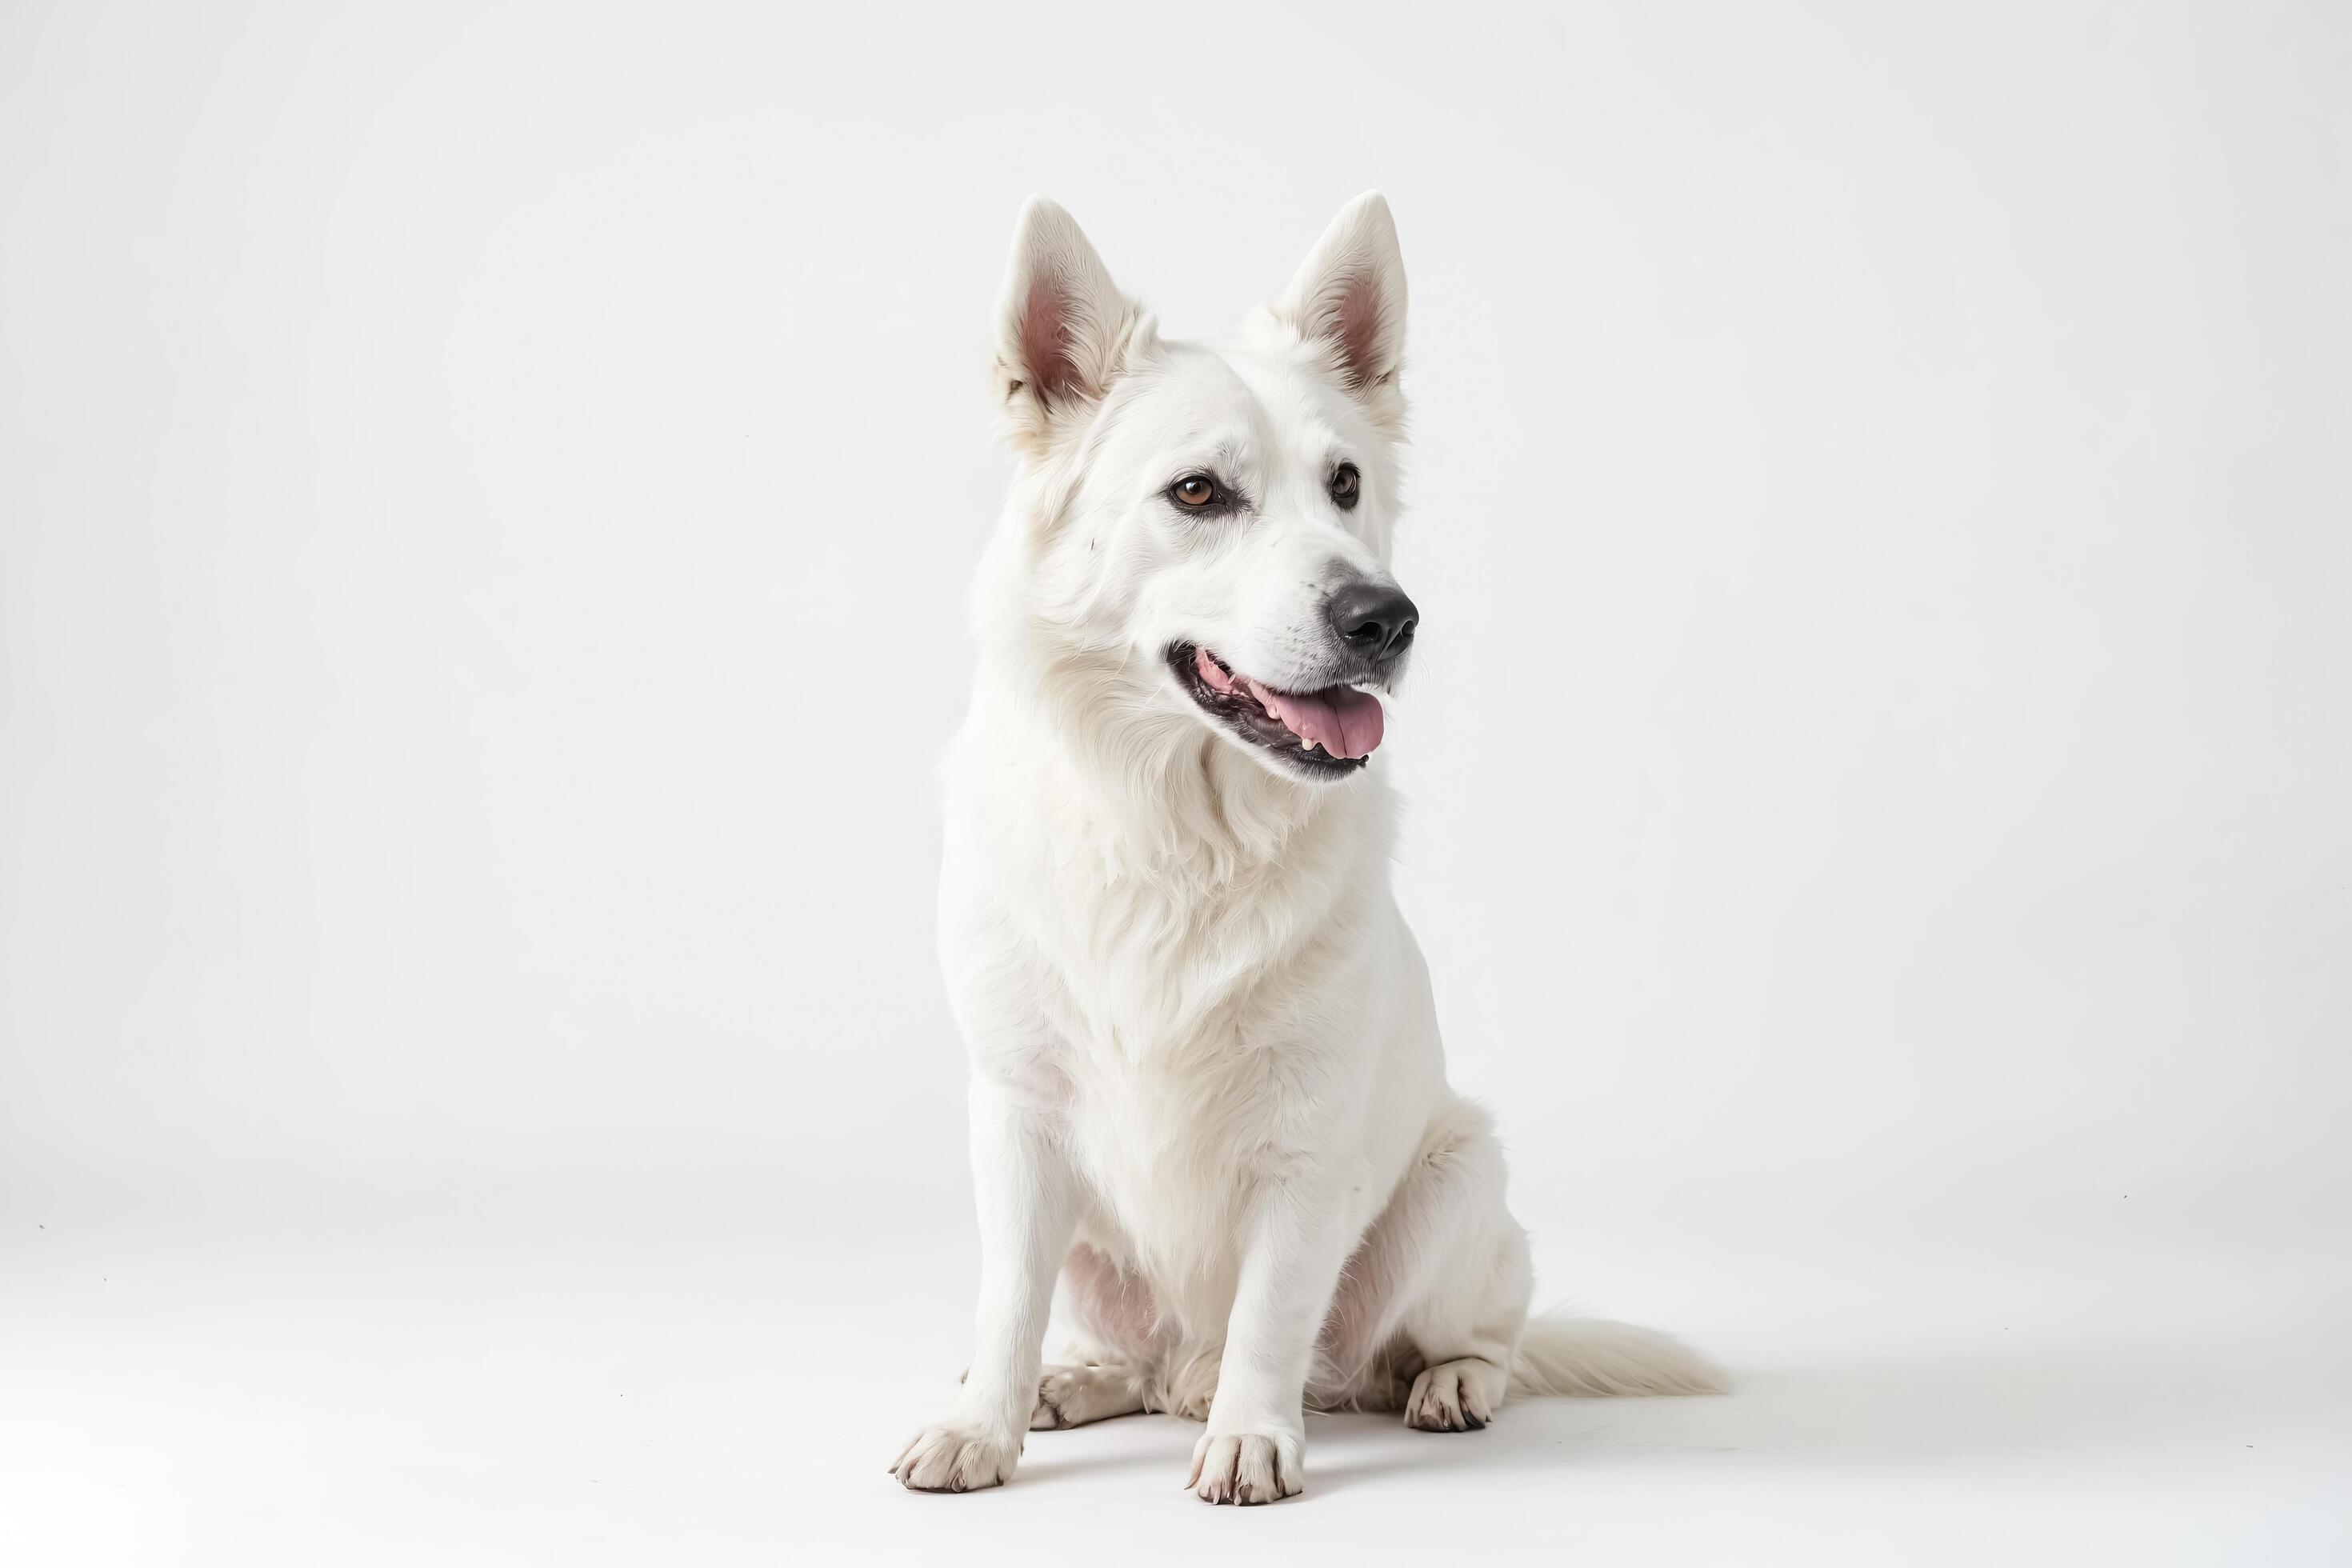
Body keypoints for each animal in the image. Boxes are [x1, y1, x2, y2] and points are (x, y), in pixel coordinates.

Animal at [889, 190, 1722, 1504]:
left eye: (1345, 483)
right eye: (1196, 494)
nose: (1388, 618)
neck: (1175, 830)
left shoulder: (1309, 1140)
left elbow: (1274, 1313)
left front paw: (1249, 1436)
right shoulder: (1017, 1117)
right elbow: (1004, 1301)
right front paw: (984, 1425)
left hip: (1455, 1181)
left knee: (1462, 1339)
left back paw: (1441, 1385)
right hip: (1101, 1255)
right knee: (1143, 1354)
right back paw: (1090, 1381)